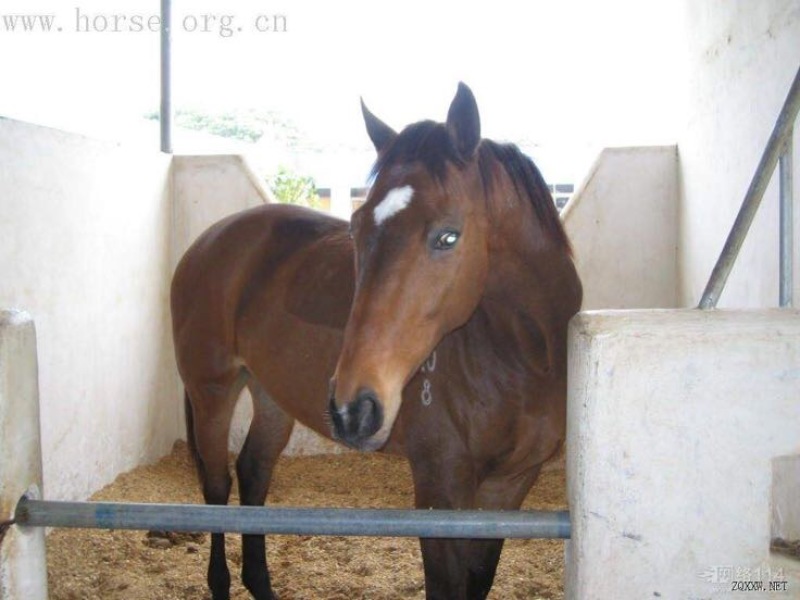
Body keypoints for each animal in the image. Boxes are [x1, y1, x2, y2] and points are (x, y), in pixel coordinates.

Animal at [170, 82, 582, 600]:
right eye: (355, 227)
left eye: (449, 236)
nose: (352, 409)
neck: (524, 359)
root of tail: (206, 243)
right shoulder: (440, 490)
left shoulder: (509, 486)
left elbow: (478, 579)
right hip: (213, 393)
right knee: (217, 486)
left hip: (270, 396)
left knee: (253, 473)